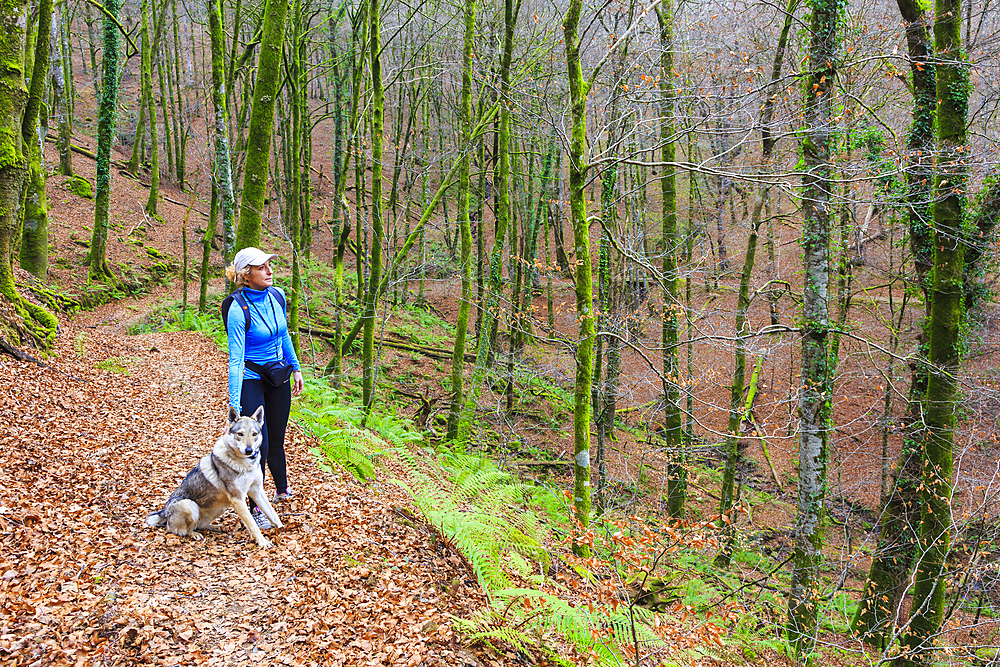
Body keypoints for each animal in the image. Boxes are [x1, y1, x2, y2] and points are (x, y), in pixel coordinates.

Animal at [143, 408, 282, 548]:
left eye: (254, 434)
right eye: (240, 434)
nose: (249, 450)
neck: (246, 464)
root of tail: (165, 512)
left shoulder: (256, 491)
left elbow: (273, 514)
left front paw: (282, 529)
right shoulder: (238, 499)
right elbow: (253, 525)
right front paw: (263, 542)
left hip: (217, 509)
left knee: (200, 525)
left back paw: (216, 527)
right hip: (189, 505)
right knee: (183, 530)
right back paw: (195, 534)